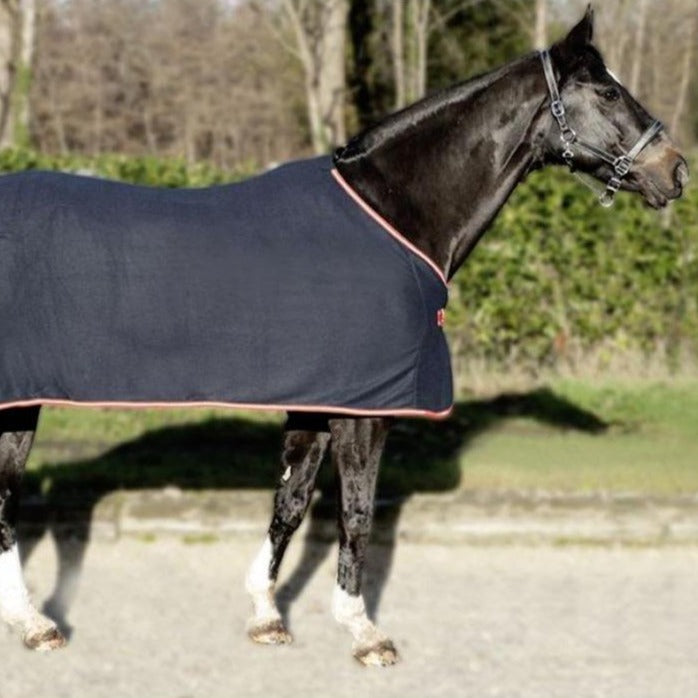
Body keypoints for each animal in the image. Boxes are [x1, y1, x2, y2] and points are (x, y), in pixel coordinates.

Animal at [0, 7, 687, 666]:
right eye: (606, 90)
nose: (676, 171)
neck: (392, 213)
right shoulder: (367, 408)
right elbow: (356, 512)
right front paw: (363, 631)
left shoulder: (320, 398)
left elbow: (291, 501)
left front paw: (266, 615)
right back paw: (35, 625)